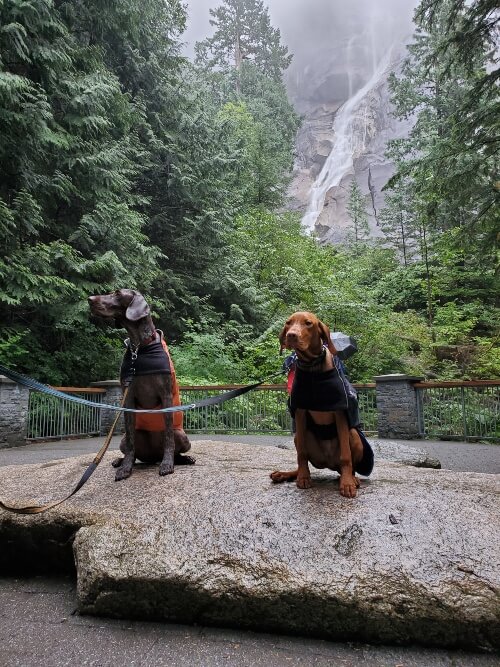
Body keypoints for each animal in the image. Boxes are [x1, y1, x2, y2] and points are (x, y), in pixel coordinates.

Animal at [88, 288, 193, 480]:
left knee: (176, 447)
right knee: (132, 449)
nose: (89, 299)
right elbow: (130, 442)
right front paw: (125, 468)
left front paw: (167, 464)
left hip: (182, 435)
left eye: (117, 293)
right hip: (124, 440)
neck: (140, 347)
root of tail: (153, 457)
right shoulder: (128, 396)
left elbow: (168, 437)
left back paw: (183, 459)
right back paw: (120, 461)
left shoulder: (165, 395)